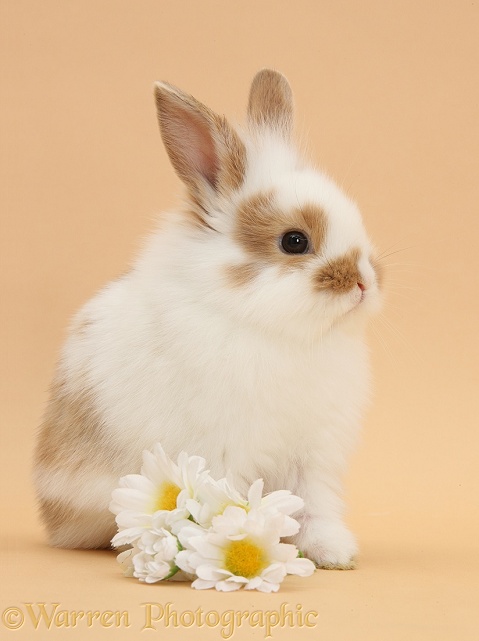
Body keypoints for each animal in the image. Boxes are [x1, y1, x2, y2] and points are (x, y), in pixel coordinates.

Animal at [33, 70, 384, 568]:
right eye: (294, 241)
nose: (363, 282)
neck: (275, 332)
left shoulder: (313, 457)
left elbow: (313, 506)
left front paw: (333, 553)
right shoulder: (222, 453)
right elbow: (227, 507)